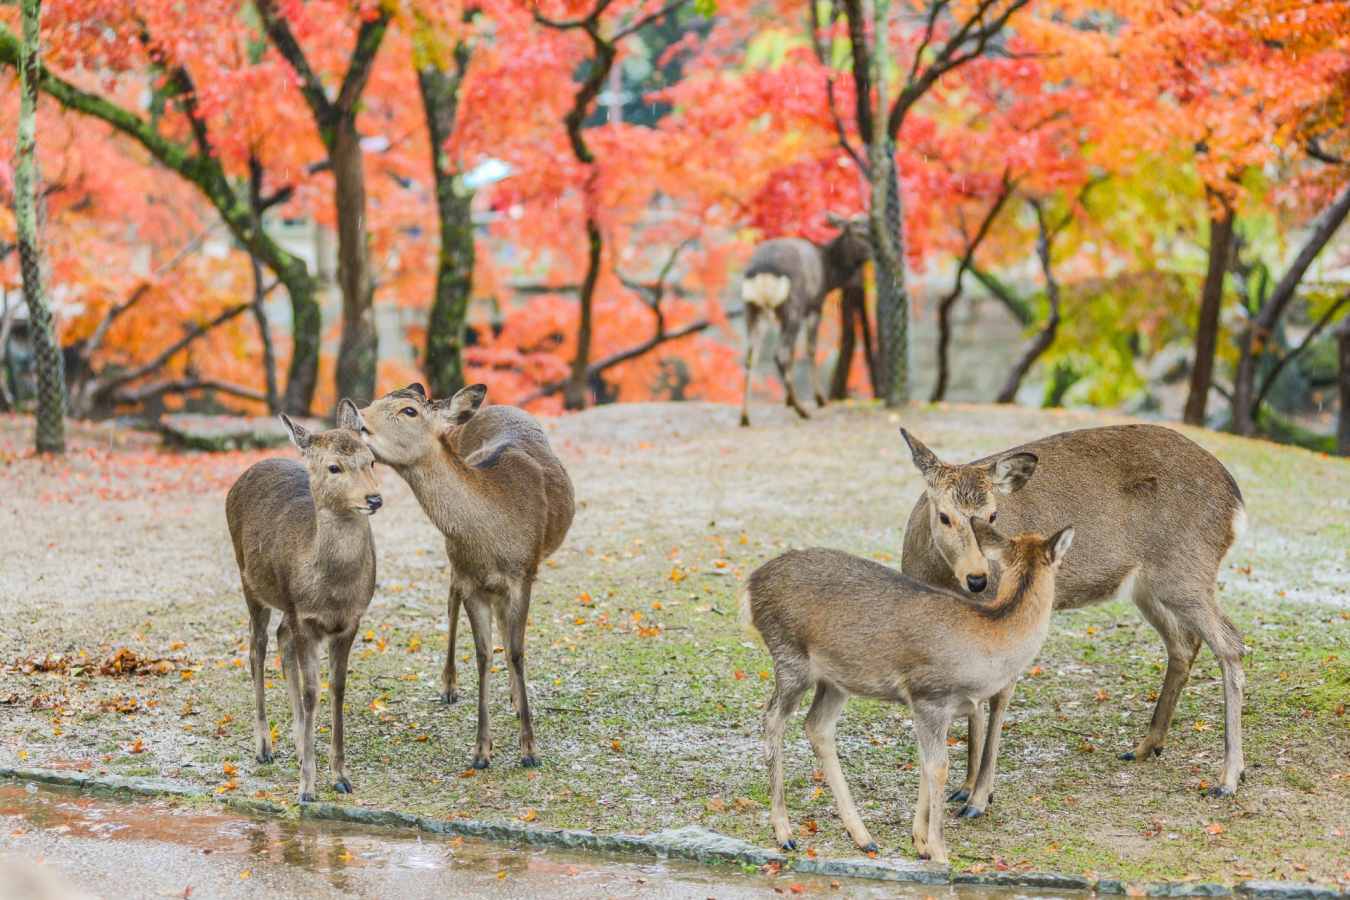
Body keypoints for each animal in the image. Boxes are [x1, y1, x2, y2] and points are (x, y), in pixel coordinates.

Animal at [225, 407, 381, 803]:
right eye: (334, 467)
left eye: (371, 459)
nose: (374, 499)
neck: (332, 591)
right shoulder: (305, 618)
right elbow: (312, 693)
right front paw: (307, 787)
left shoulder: (350, 620)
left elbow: (337, 687)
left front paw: (340, 775)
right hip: (250, 581)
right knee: (257, 649)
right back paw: (264, 747)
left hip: (284, 605)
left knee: (281, 638)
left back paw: (296, 745)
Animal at [345, 383, 574, 770]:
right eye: (375, 400)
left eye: (409, 411)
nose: (352, 415)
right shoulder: (472, 581)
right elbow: (483, 654)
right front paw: (481, 752)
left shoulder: (524, 574)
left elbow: (515, 650)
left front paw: (529, 749)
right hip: (455, 559)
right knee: (451, 598)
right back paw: (450, 687)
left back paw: (515, 698)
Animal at [739, 214, 871, 427]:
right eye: (858, 232)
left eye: (873, 227)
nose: (874, 252)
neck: (829, 276)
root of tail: (763, 271)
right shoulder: (814, 306)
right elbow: (810, 349)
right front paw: (819, 399)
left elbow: (795, 353)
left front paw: (787, 400)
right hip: (792, 305)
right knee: (781, 353)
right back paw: (801, 409)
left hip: (753, 309)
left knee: (752, 356)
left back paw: (745, 417)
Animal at [743, 522, 1074, 864]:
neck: (989, 645)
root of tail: (751, 584)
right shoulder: (929, 695)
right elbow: (938, 768)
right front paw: (940, 852)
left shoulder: (938, 710)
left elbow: (926, 764)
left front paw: (920, 842)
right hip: (789, 656)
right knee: (773, 718)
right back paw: (785, 832)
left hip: (836, 679)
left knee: (816, 725)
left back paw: (863, 837)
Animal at [898, 424, 1248, 815]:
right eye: (944, 515)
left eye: (992, 515)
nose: (979, 579)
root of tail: (1235, 502)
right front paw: (965, 788)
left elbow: (998, 696)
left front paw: (979, 798)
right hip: (1148, 585)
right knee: (1184, 644)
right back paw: (1145, 747)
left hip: (1186, 570)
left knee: (1230, 643)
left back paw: (1228, 778)